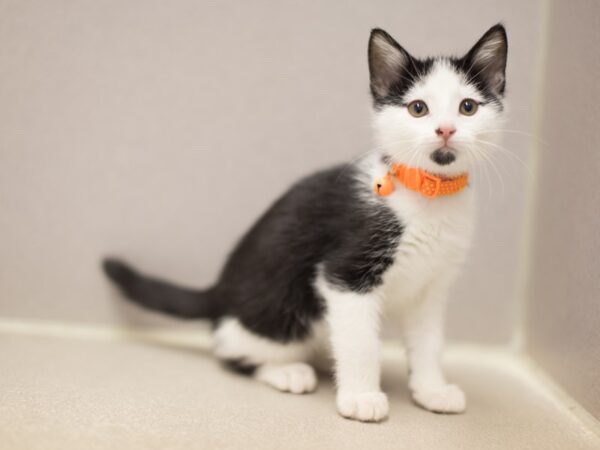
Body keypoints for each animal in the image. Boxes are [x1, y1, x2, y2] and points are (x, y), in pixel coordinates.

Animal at [102, 24, 506, 424]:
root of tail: (219, 291)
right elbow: (360, 342)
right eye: (418, 108)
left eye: (468, 107)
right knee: (231, 350)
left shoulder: (431, 288)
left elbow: (429, 342)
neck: (429, 194)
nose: (445, 130)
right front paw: (361, 397)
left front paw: (432, 389)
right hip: (277, 312)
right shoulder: (345, 274)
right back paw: (287, 371)